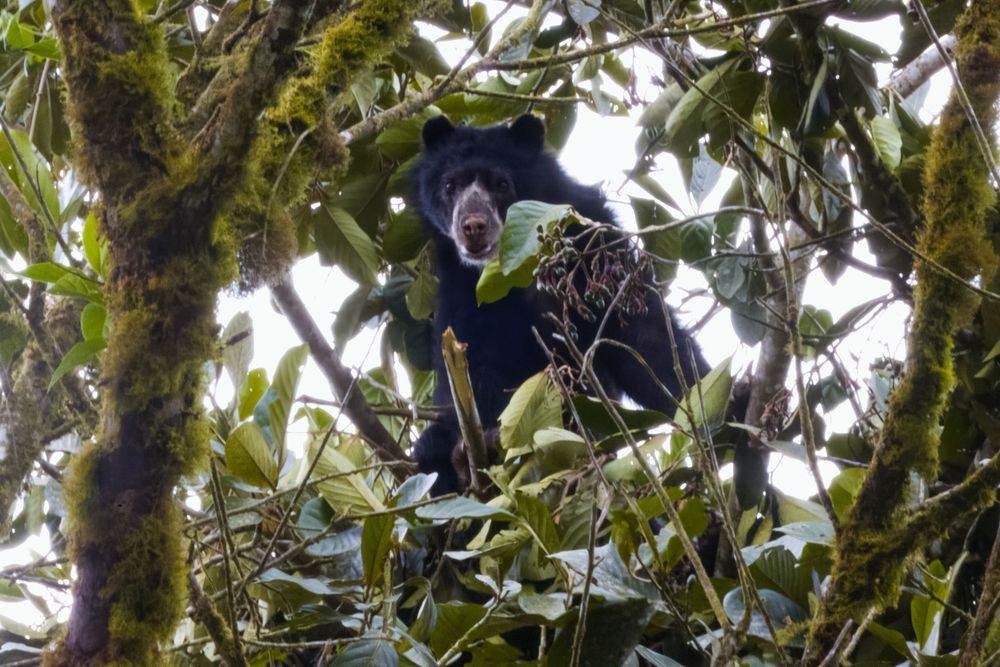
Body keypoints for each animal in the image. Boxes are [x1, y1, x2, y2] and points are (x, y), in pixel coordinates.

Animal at [411, 114, 708, 494]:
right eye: (450, 186)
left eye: (501, 183)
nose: (473, 226)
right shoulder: (459, 285)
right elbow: (472, 362)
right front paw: (482, 446)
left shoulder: (594, 241)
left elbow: (641, 335)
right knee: (428, 450)